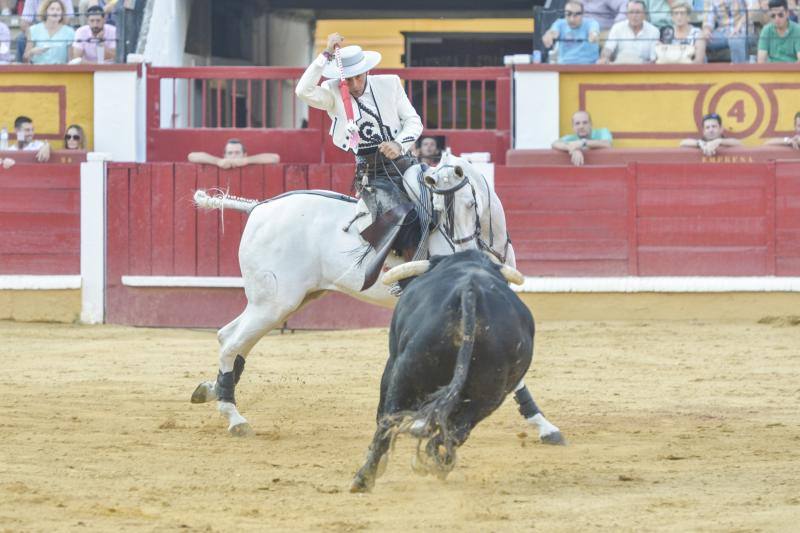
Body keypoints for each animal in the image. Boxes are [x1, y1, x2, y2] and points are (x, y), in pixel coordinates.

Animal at [189, 155, 564, 444]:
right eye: (437, 209)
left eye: (472, 204)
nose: (466, 255)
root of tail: (259, 208)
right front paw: (542, 425)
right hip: (274, 303)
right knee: (231, 342)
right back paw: (234, 416)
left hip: (285, 301)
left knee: (229, 337)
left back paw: (211, 390)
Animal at [352, 249, 536, 490]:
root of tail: (470, 292)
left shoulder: (392, 363)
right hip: (490, 394)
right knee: (458, 431)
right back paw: (436, 463)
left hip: (407, 372)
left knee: (389, 419)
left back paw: (364, 477)